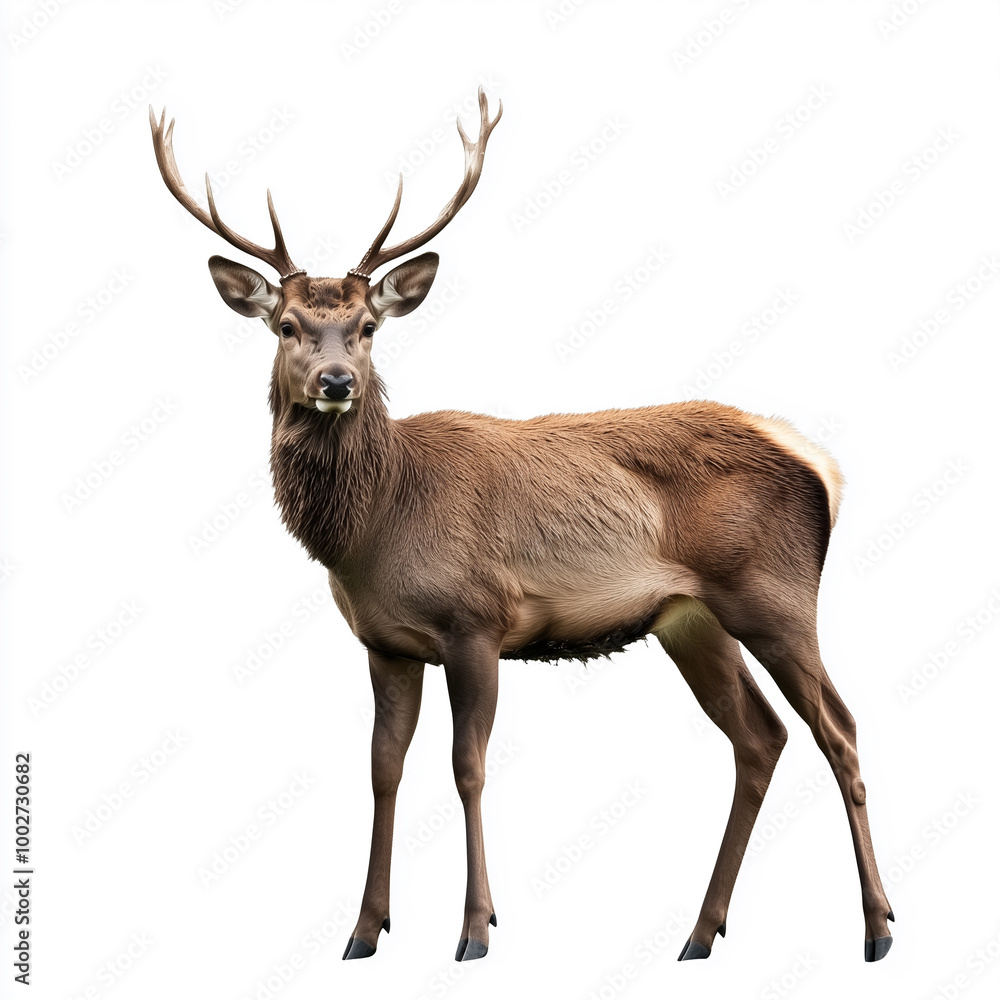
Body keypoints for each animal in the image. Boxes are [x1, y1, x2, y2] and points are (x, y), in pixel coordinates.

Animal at [149, 90, 894, 965]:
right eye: (287, 325)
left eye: (368, 327)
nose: (335, 382)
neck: (379, 523)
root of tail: (819, 463)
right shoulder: (385, 642)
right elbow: (382, 769)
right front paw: (364, 930)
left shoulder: (477, 619)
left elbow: (466, 766)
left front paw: (476, 929)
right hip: (693, 620)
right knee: (761, 739)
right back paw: (700, 933)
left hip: (775, 594)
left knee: (839, 728)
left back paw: (877, 928)